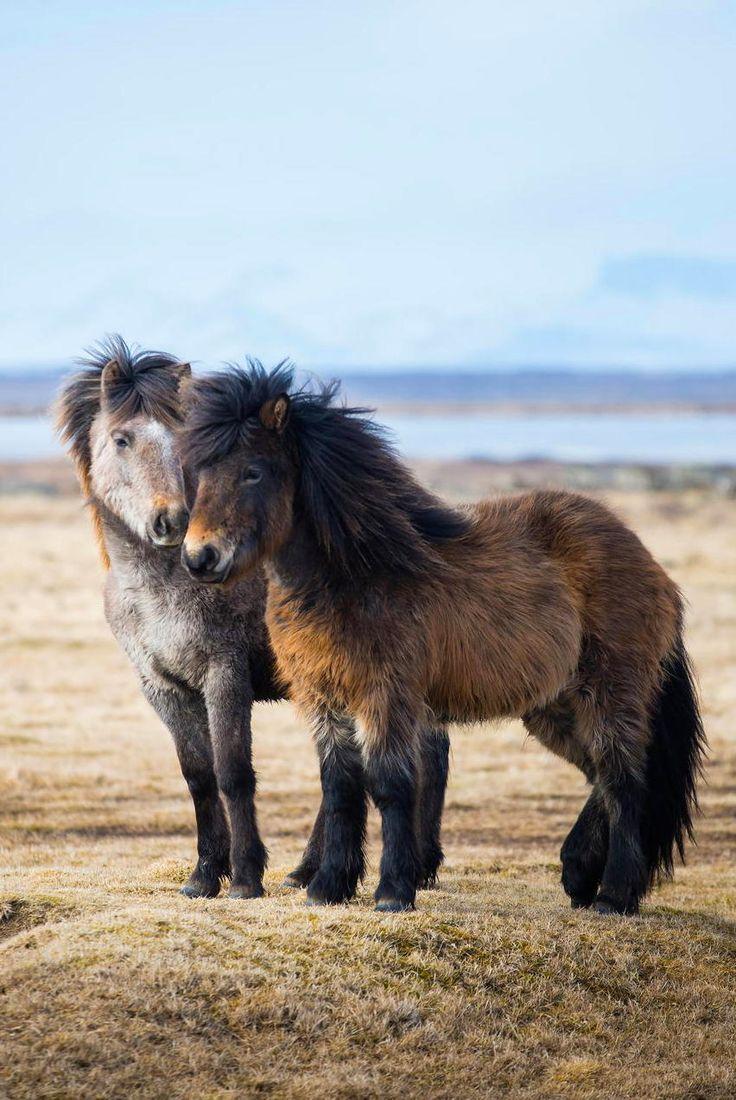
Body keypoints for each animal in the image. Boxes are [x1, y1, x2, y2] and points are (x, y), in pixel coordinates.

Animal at [180, 361, 706, 915]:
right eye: (201, 472)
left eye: (253, 471)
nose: (200, 558)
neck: (357, 574)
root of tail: (651, 565)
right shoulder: (324, 698)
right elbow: (339, 787)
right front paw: (328, 888)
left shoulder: (386, 696)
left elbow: (390, 785)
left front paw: (392, 892)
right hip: (554, 706)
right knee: (601, 777)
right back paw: (579, 873)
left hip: (610, 693)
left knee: (626, 781)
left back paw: (614, 894)